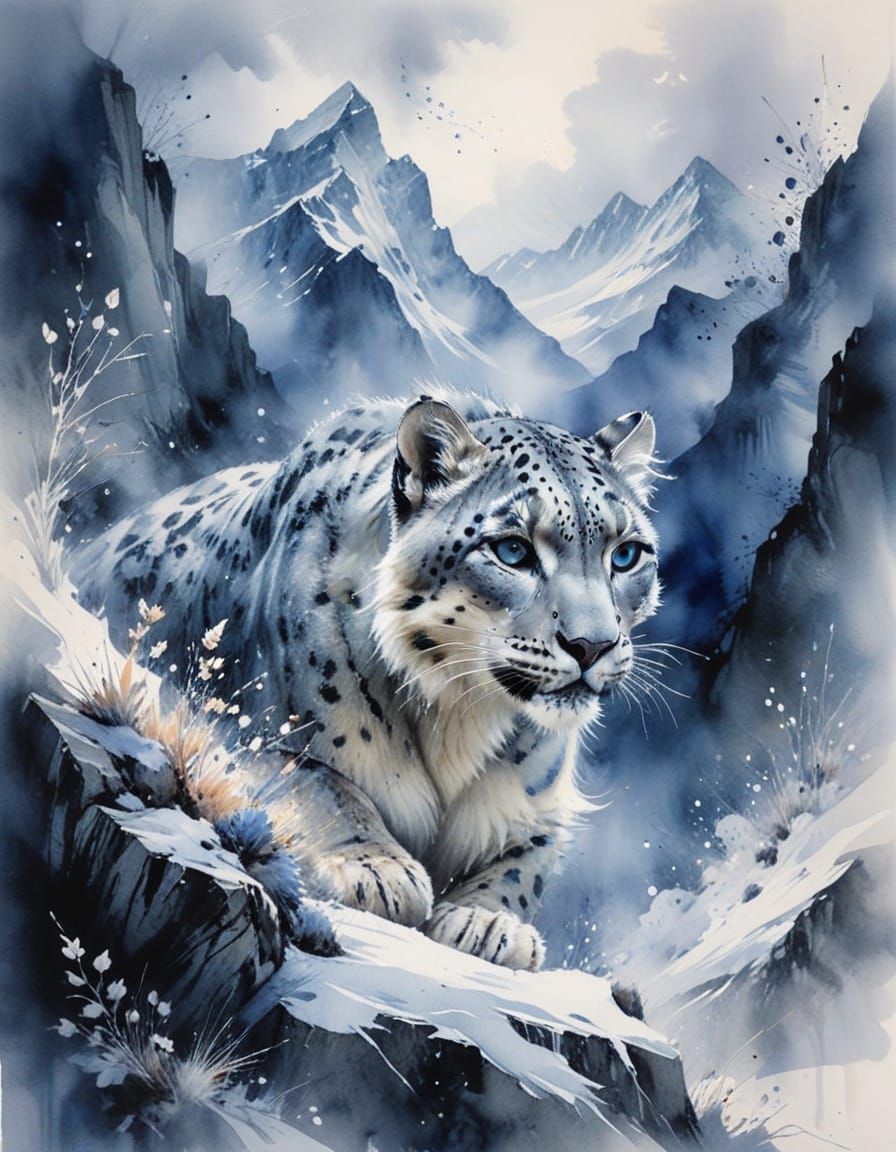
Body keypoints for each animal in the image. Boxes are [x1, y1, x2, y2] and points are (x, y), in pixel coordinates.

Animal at [73, 391, 661, 970]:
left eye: (626, 553)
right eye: (512, 549)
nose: (593, 645)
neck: (459, 715)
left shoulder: (540, 809)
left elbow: (523, 862)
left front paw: (488, 923)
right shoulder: (250, 735)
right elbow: (325, 788)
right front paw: (380, 870)